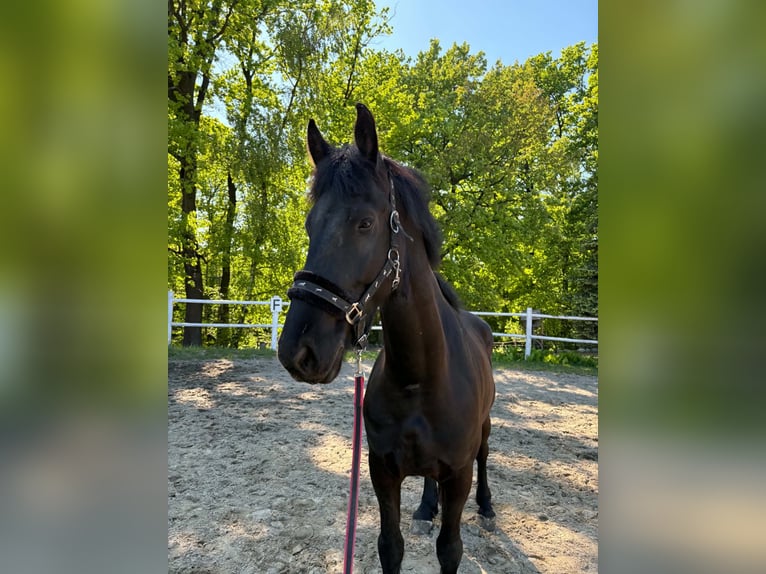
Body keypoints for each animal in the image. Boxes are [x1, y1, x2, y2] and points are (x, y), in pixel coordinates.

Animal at [278, 103, 496, 574]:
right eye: (309, 225)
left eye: (365, 223)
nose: (297, 351)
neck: (420, 377)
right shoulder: (382, 470)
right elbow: (389, 546)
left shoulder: (459, 473)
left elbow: (451, 548)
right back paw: (425, 509)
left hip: (484, 431)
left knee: (487, 455)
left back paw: (488, 506)